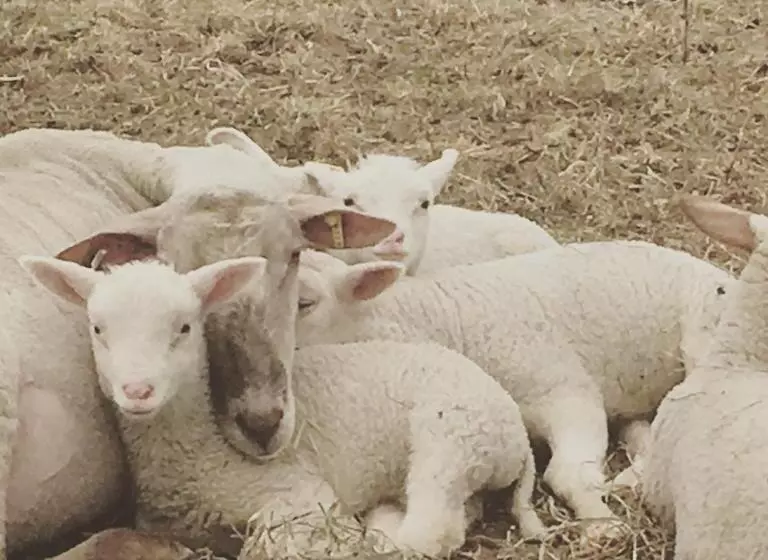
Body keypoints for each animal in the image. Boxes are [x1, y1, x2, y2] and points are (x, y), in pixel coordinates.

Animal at [45, 191, 544, 558]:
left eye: (294, 254)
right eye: (97, 328)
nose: (262, 424)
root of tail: (517, 438)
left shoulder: (300, 500)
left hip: (446, 442)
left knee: (429, 529)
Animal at [288, 240, 733, 541]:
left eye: (304, 303)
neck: (436, 319)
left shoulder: (566, 390)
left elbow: (569, 471)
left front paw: (602, 525)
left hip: (702, 338)